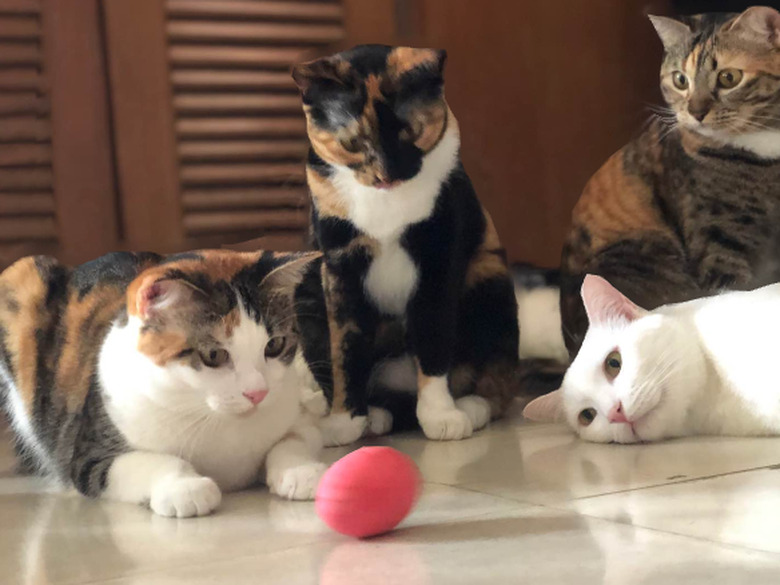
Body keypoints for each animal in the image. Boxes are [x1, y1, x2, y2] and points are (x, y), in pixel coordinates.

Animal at [0, 250, 328, 516]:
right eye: (213, 355)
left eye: (275, 345)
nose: (257, 393)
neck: (216, 417)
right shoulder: (90, 454)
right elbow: (147, 461)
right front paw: (186, 488)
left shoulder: (295, 412)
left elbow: (294, 441)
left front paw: (301, 471)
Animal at [292, 44, 532, 442]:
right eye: (352, 144)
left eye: (410, 133)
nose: (385, 176)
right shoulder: (339, 269)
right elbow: (345, 350)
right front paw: (345, 420)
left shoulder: (438, 259)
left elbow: (433, 339)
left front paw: (440, 415)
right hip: (307, 290)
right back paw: (375, 416)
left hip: (489, 277)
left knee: (496, 376)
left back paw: (471, 407)